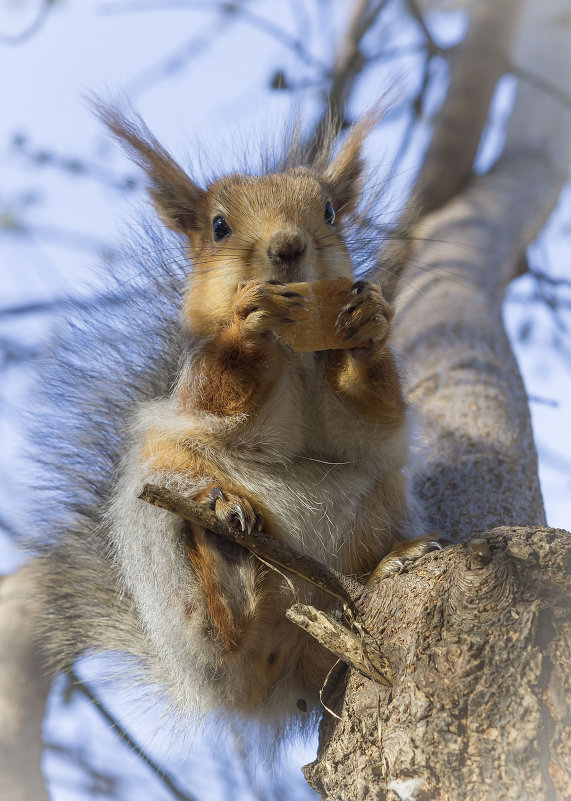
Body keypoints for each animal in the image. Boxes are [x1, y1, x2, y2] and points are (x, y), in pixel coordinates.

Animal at [25, 104, 428, 724]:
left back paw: (392, 564)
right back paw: (225, 544)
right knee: (221, 628)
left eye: (329, 212)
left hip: (379, 506)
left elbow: (367, 418)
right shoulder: (193, 391)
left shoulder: (362, 425)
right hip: (162, 518)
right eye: (219, 226)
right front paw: (248, 321)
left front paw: (369, 325)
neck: (293, 350)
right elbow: (222, 397)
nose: (287, 246)